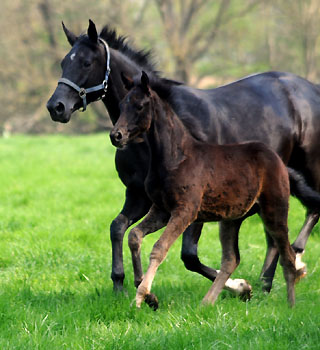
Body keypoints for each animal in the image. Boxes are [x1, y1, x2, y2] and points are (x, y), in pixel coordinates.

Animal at [110, 72, 300, 308]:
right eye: (121, 105)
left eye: (140, 106)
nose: (116, 136)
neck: (175, 157)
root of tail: (277, 159)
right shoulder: (162, 210)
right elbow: (134, 235)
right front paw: (148, 296)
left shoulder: (185, 211)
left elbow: (159, 249)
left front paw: (140, 297)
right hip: (231, 219)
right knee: (231, 258)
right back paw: (208, 302)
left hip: (274, 210)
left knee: (287, 254)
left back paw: (291, 305)